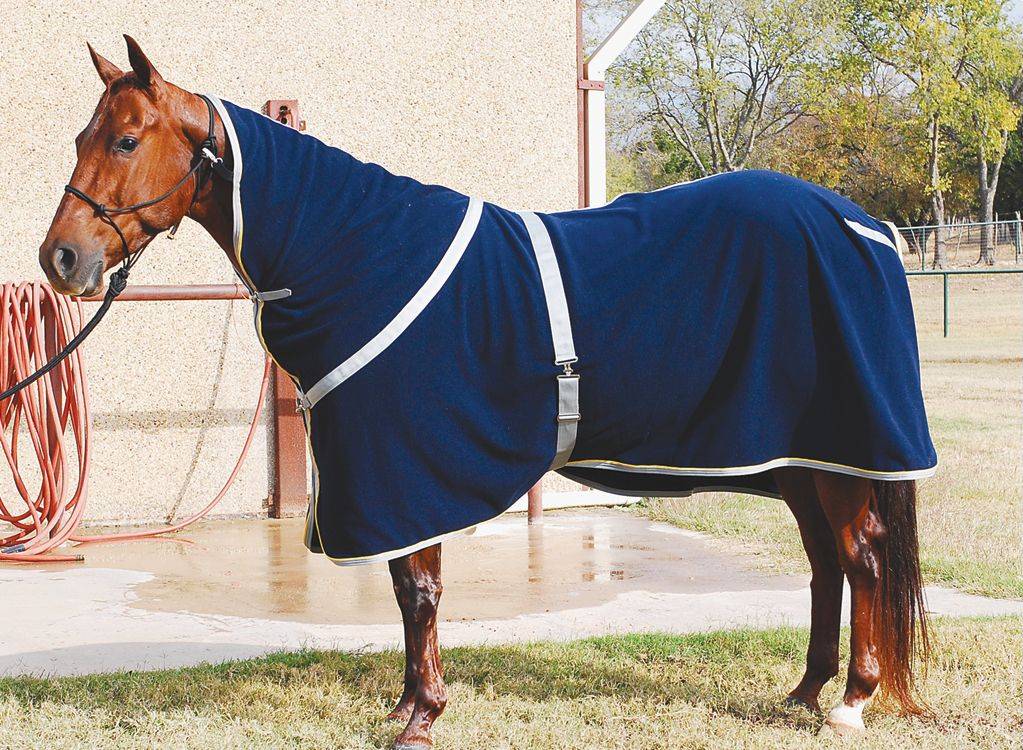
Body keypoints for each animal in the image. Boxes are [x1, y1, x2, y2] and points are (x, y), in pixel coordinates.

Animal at [39, 37, 934, 748]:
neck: (355, 251)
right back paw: (804, 690)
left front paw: (422, 716)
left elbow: (421, 590)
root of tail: (859, 224)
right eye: (80, 135)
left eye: (125, 138)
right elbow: (407, 592)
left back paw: (849, 701)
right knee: (824, 563)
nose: (61, 260)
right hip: (800, 458)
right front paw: (408, 703)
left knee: (860, 558)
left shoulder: (407, 469)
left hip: (838, 453)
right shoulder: (393, 476)